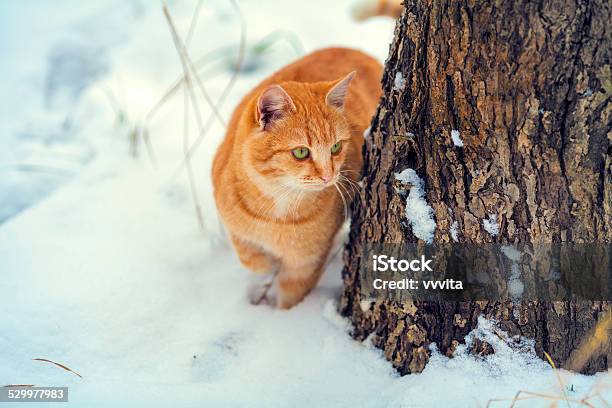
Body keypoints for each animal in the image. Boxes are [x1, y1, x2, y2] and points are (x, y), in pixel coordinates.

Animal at [213, 47, 380, 310]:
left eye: (336, 147)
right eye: (301, 152)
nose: (328, 176)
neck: (277, 211)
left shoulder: (305, 265)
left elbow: (290, 297)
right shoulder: (234, 227)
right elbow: (249, 257)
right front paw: (265, 264)